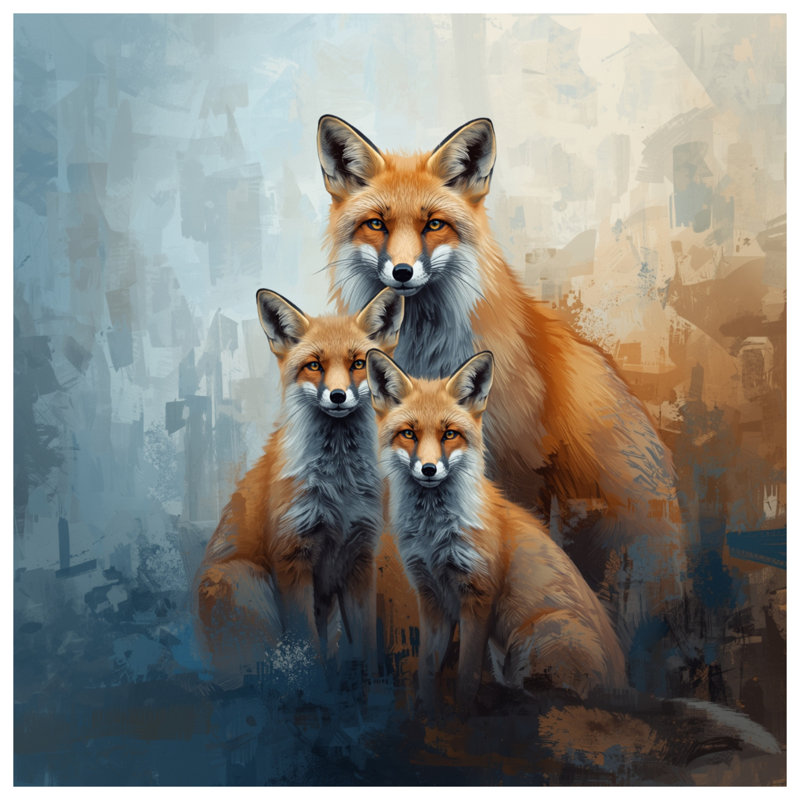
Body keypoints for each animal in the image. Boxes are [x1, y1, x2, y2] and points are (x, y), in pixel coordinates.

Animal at [194, 286, 404, 679]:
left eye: (357, 364)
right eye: (314, 365)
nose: (337, 396)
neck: (339, 487)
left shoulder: (360, 561)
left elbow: (366, 646)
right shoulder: (292, 558)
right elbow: (307, 651)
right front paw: (316, 687)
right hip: (247, 581)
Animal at [366, 348, 628, 712]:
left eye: (449, 434)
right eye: (409, 433)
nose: (429, 469)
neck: (433, 534)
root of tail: (623, 685)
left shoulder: (478, 596)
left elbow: (467, 676)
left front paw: (462, 713)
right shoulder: (431, 596)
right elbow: (428, 668)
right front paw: (429, 711)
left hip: (534, 638)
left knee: (556, 697)